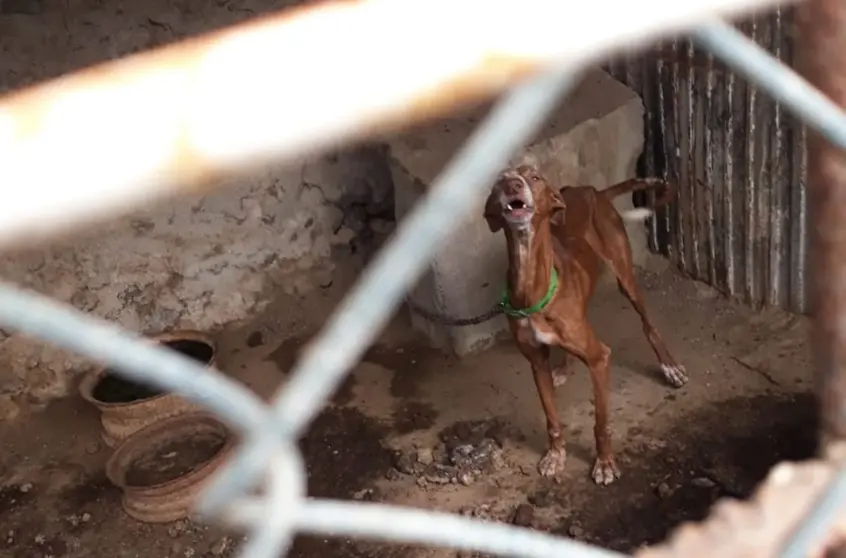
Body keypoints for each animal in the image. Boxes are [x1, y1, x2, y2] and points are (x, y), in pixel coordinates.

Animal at [484, 165, 688, 486]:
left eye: (534, 177)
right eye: (499, 180)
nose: (513, 185)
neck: (532, 285)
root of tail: (594, 191)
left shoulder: (600, 359)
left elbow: (601, 422)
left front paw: (604, 463)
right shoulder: (536, 362)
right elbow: (552, 418)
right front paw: (556, 455)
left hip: (625, 276)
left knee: (648, 324)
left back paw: (669, 366)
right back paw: (564, 367)